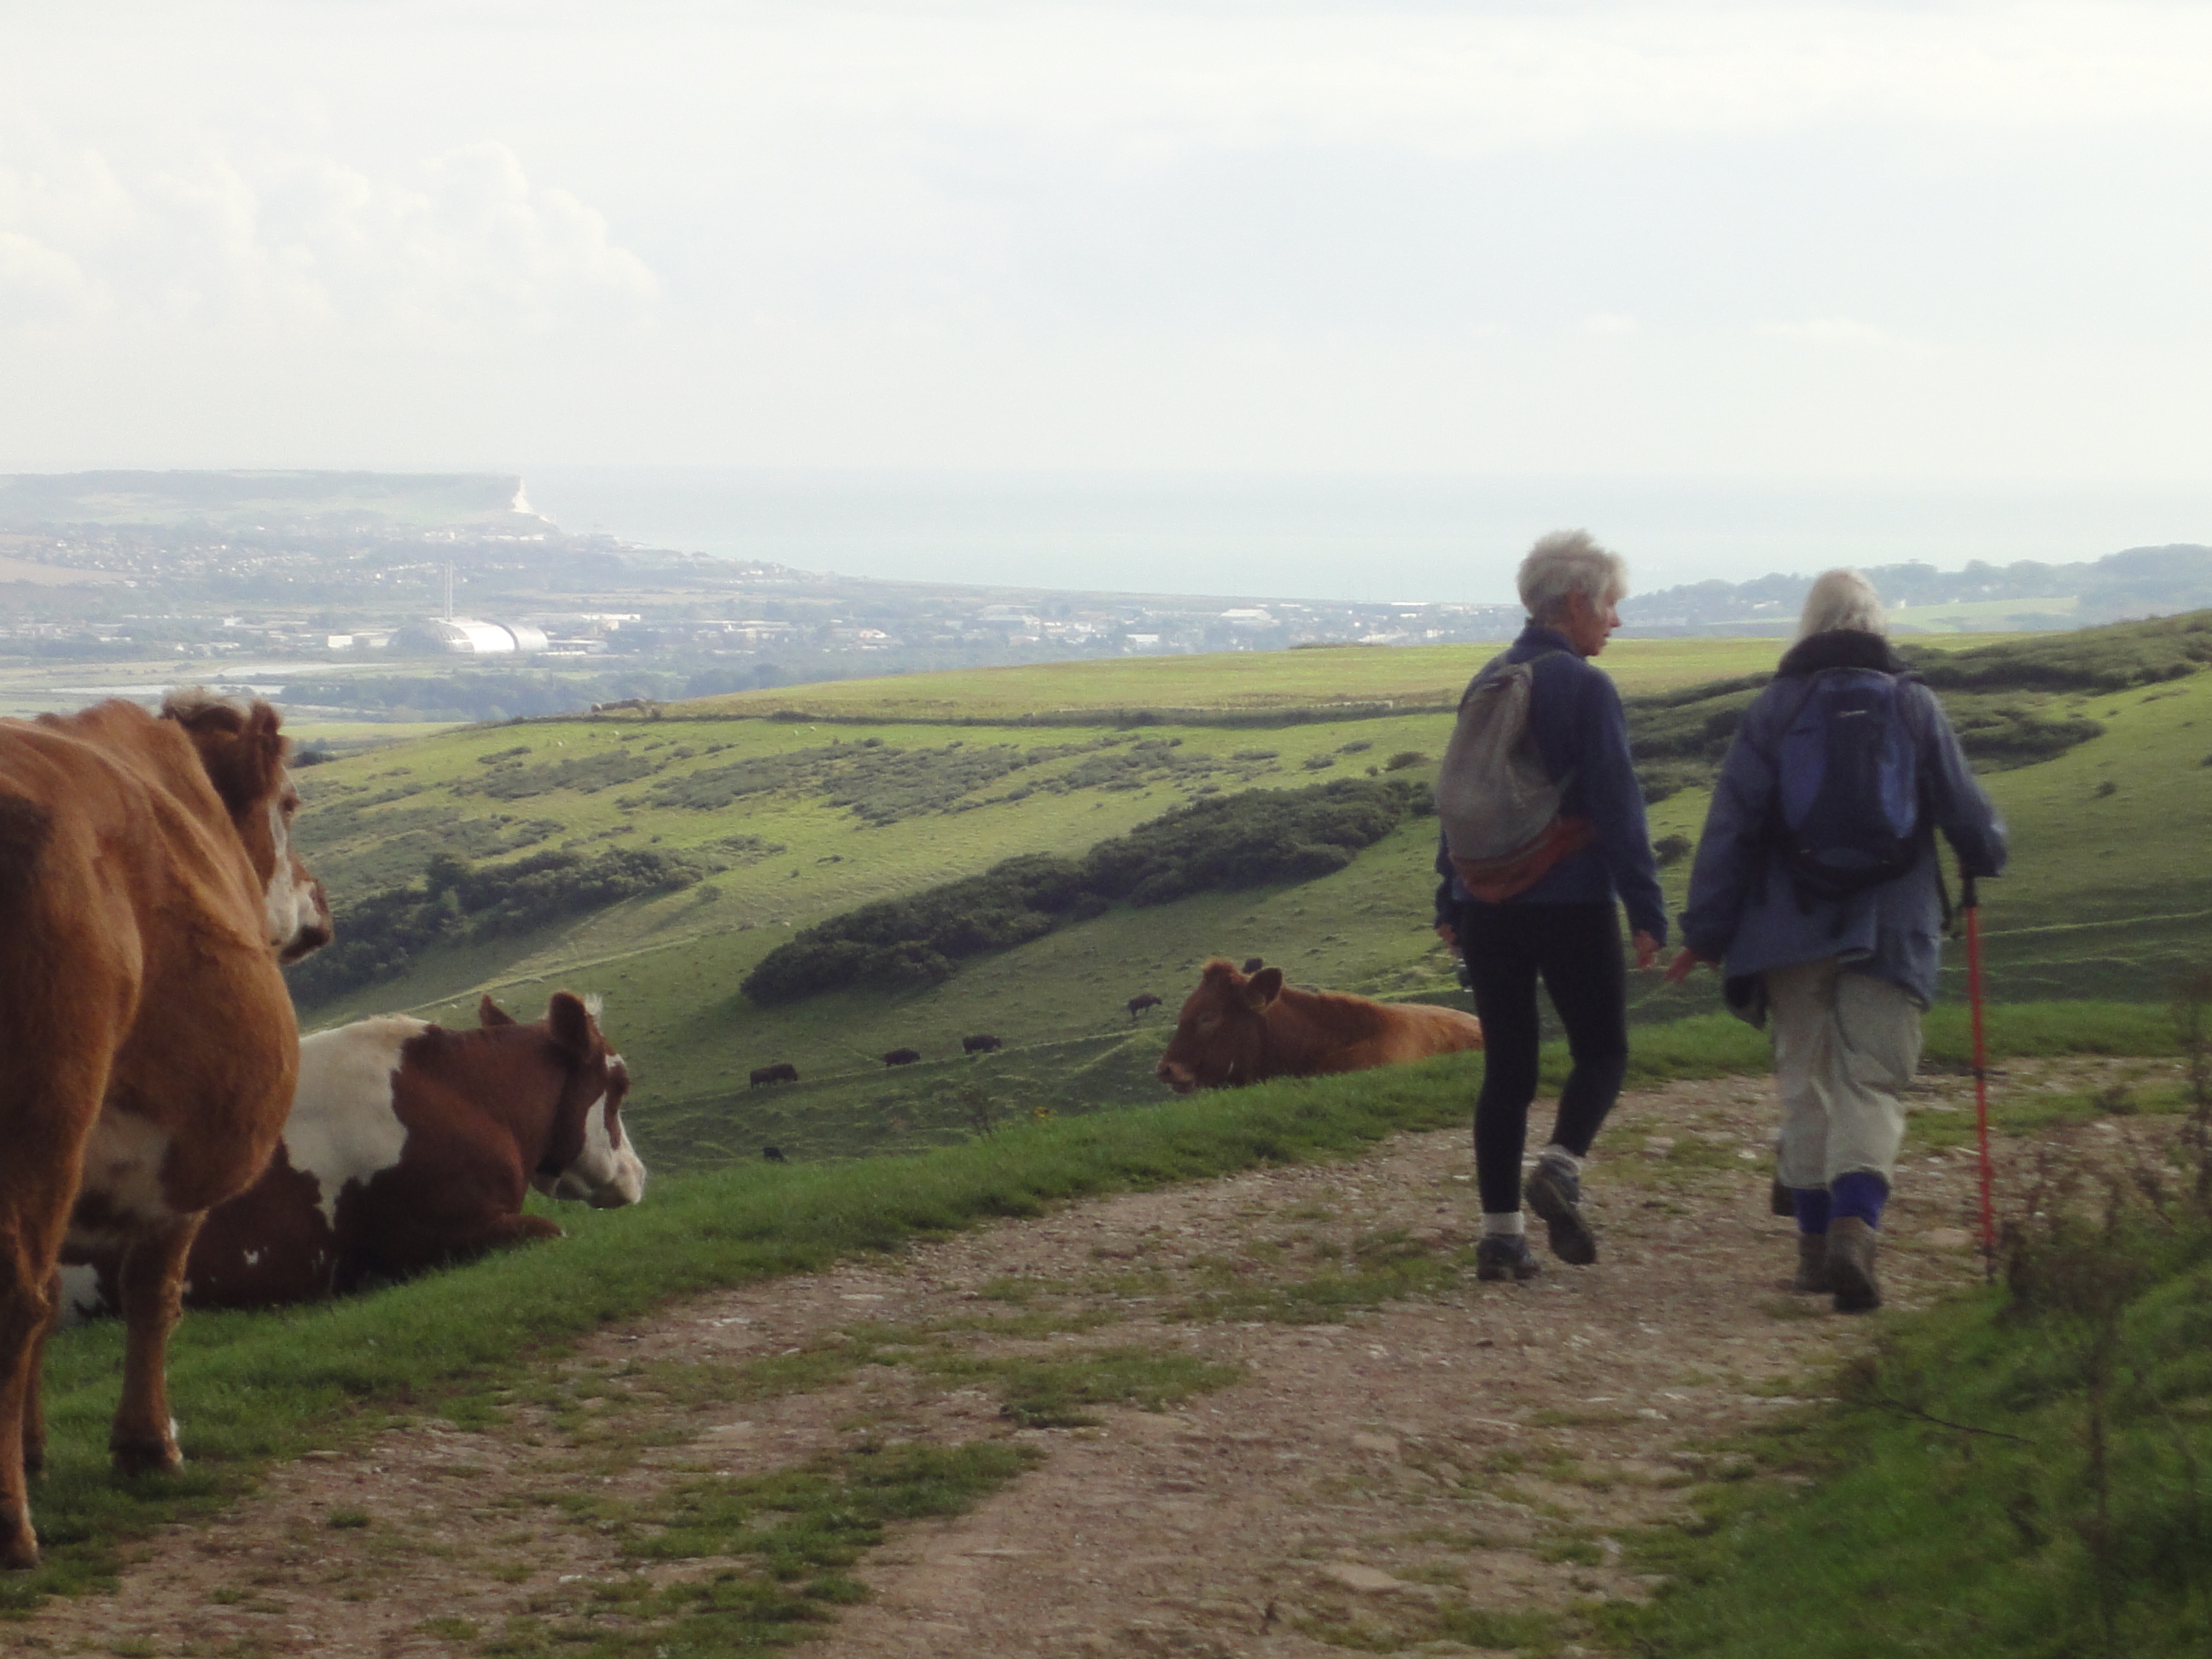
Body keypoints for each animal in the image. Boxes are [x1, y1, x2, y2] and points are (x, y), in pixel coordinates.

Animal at [1, 691, 330, 1570]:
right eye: (291, 804)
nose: (319, 899)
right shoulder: (186, 1162)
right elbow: (154, 1294)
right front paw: (148, 1447)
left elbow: (58, 1296)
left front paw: (36, 1453)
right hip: (41, 1112)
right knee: (13, 1299)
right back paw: (11, 1529)